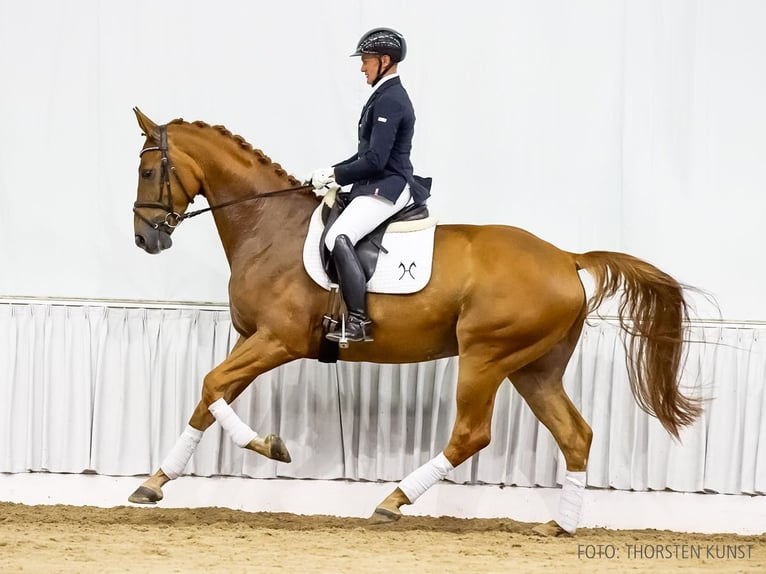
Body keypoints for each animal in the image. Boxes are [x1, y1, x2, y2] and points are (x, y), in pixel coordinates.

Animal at [129, 108, 704, 536]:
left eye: (148, 171)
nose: (145, 239)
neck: (268, 227)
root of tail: (566, 258)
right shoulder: (252, 340)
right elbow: (207, 399)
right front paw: (154, 483)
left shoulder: (277, 340)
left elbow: (210, 385)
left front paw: (271, 446)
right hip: (533, 368)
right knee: (576, 435)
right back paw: (560, 527)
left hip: (486, 355)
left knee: (472, 433)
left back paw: (393, 499)